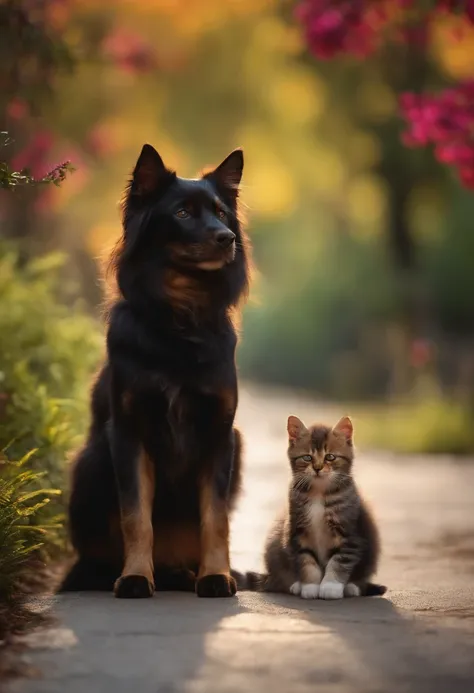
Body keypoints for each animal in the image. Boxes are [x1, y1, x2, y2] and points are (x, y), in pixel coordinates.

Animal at [61, 145, 250, 596]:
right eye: (182, 213)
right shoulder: (129, 435)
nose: (228, 238)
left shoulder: (221, 434)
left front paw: (216, 576)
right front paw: (134, 577)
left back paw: (186, 573)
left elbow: (215, 518)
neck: (181, 320)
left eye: (221, 212)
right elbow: (136, 517)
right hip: (93, 459)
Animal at [262, 414, 386, 596]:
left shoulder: (350, 535)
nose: (318, 468)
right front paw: (310, 587)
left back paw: (352, 587)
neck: (319, 494)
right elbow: (306, 561)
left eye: (330, 457)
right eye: (307, 457)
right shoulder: (297, 531)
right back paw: (295, 585)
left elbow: (339, 562)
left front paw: (330, 587)